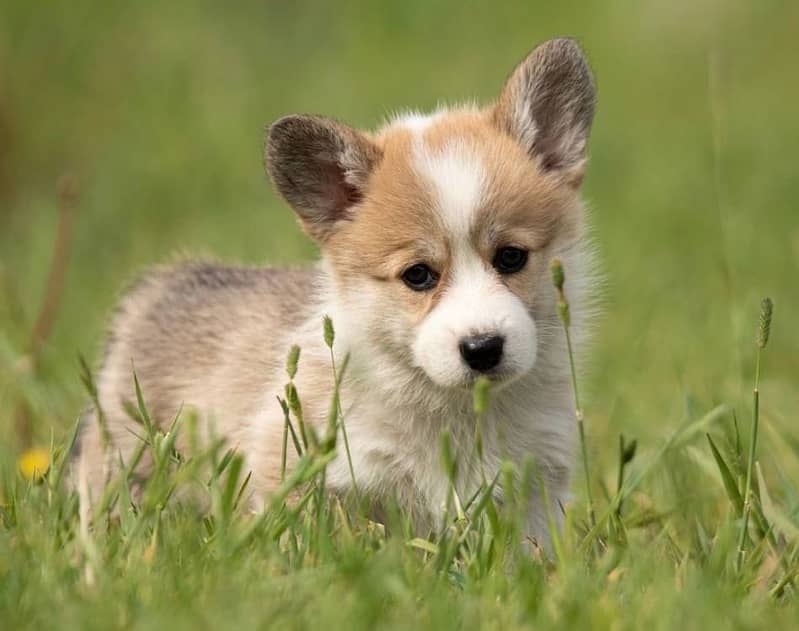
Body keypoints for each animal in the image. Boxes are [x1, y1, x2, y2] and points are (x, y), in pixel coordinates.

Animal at [75, 37, 596, 544]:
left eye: (511, 257)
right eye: (418, 275)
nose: (483, 348)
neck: (453, 409)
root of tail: (164, 284)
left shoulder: (537, 487)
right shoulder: (296, 470)